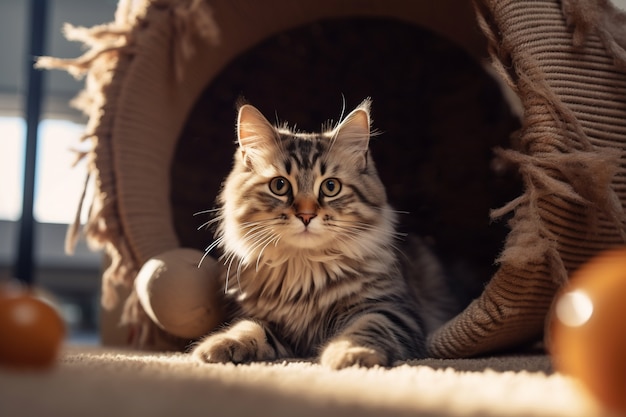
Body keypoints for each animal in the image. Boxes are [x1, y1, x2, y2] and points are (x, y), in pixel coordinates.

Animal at [190, 100, 454, 368]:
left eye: (330, 187)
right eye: (279, 186)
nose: (306, 216)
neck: (304, 269)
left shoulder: (393, 309)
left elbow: (367, 327)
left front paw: (350, 354)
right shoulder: (269, 322)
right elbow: (248, 327)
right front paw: (219, 345)